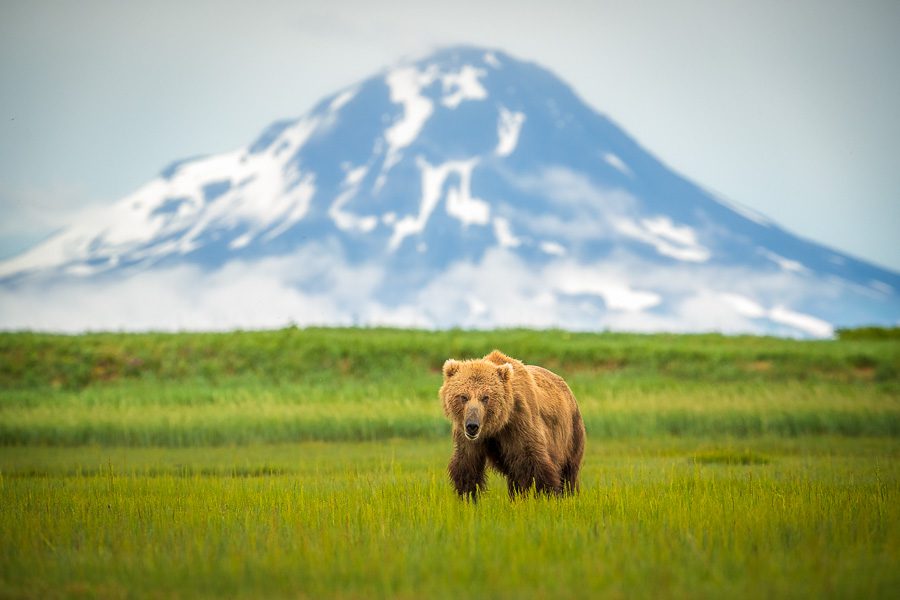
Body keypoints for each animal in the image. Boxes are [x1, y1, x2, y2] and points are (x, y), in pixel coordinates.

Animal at [438, 350, 584, 500]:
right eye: (463, 396)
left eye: (485, 397)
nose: (472, 425)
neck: (496, 425)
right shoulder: (467, 437)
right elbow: (467, 466)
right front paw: (468, 497)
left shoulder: (520, 424)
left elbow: (535, 465)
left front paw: (546, 496)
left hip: (570, 433)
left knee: (569, 471)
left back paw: (569, 494)